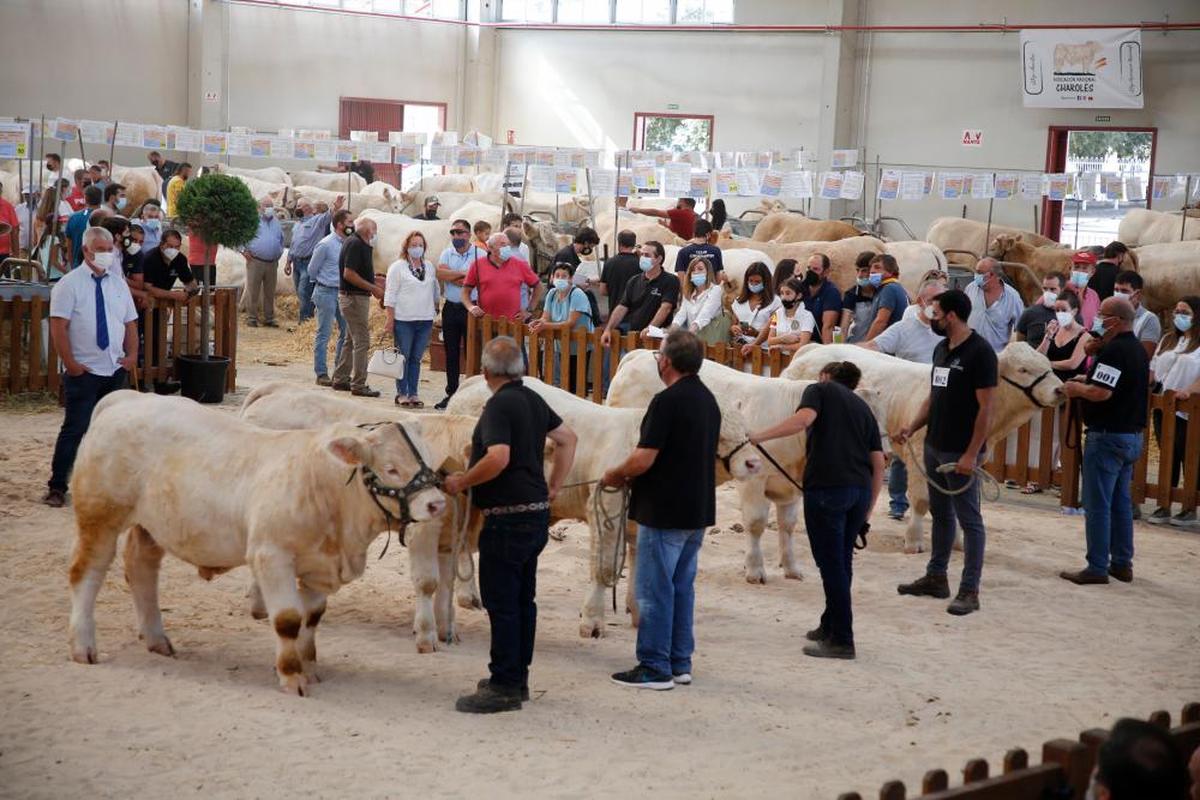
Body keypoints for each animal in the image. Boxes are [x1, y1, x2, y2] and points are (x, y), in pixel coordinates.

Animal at [66, 393, 451, 695]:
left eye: (426, 459)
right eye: (391, 468)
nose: (436, 504)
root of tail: (126, 399)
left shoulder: (318, 567)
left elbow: (311, 617)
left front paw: (309, 666)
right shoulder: (271, 556)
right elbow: (288, 620)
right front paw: (292, 676)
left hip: (152, 527)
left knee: (141, 568)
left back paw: (156, 638)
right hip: (100, 515)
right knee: (87, 573)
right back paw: (83, 645)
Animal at [441, 376, 758, 638]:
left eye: (746, 430)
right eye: (718, 433)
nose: (754, 462)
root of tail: (470, 383)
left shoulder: (639, 524)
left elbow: (641, 567)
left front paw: (639, 613)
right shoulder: (606, 508)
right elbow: (604, 567)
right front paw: (592, 620)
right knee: (463, 541)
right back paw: (468, 596)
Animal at [787, 340, 1060, 554]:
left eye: (1048, 365)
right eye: (1023, 369)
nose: (1061, 389)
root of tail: (814, 348)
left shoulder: (967, 463)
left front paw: (957, 543)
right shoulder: (920, 456)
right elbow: (920, 501)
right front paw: (914, 541)